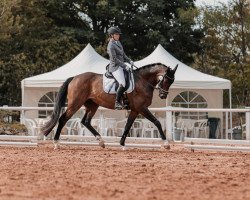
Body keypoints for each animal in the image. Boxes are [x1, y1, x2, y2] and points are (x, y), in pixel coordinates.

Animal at [42, 62, 177, 148]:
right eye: (166, 80)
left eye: (172, 81)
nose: (163, 96)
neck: (143, 81)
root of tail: (74, 77)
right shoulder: (142, 108)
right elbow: (157, 122)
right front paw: (166, 144)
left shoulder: (135, 110)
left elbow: (128, 126)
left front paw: (122, 144)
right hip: (75, 104)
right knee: (63, 119)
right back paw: (56, 143)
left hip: (92, 105)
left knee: (86, 121)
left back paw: (101, 141)